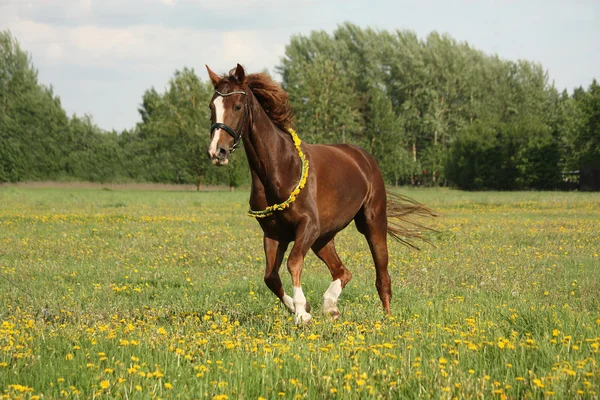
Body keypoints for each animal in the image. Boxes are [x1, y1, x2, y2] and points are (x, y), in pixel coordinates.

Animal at [207, 64, 436, 324]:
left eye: (237, 106)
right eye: (212, 107)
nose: (217, 152)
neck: (281, 167)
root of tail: (364, 159)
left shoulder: (307, 226)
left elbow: (294, 263)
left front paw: (301, 314)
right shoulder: (273, 234)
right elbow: (270, 277)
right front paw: (303, 309)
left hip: (370, 223)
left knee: (382, 275)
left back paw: (385, 318)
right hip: (323, 238)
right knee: (343, 272)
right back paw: (330, 306)